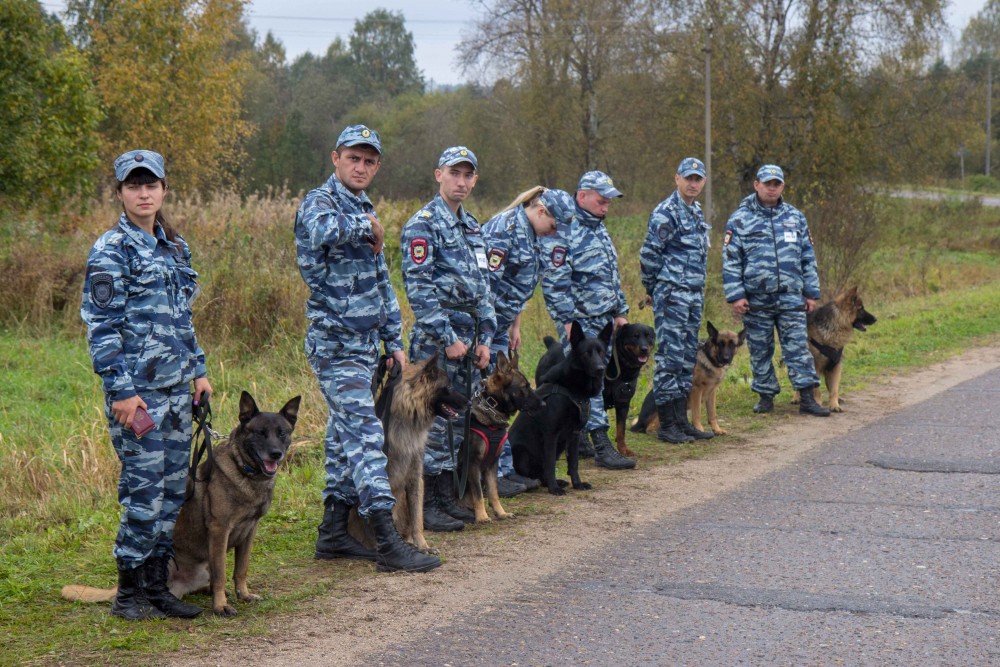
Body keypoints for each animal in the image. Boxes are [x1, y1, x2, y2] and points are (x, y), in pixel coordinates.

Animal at [512, 324, 612, 496]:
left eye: (601, 352)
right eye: (586, 353)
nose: (601, 369)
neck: (572, 390)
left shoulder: (575, 434)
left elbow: (574, 463)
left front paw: (577, 484)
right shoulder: (551, 435)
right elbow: (550, 465)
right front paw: (554, 489)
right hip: (522, 453)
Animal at [600, 324, 656, 460]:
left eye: (649, 336)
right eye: (635, 336)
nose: (644, 349)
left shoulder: (623, 402)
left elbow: (621, 430)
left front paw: (623, 450)